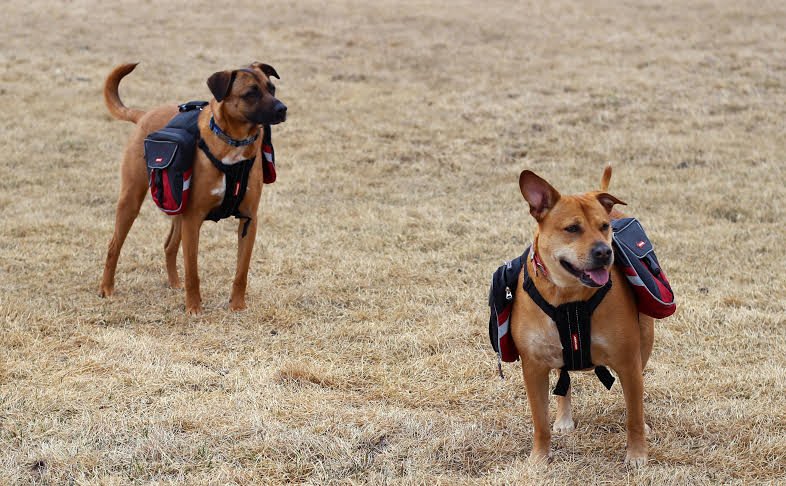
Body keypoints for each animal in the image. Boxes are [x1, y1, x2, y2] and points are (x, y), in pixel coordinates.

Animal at [98, 62, 286, 314]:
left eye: (271, 88)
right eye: (250, 93)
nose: (282, 109)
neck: (232, 141)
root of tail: (144, 115)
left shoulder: (249, 220)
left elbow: (241, 271)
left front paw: (237, 306)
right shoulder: (193, 219)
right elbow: (193, 271)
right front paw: (194, 308)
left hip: (178, 207)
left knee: (169, 246)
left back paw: (174, 283)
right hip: (132, 200)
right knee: (114, 246)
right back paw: (106, 288)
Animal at [506, 167, 652, 468]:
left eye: (604, 227)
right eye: (572, 229)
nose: (604, 251)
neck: (568, 296)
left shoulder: (628, 362)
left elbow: (633, 413)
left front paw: (636, 455)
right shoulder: (533, 367)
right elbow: (540, 421)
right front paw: (539, 458)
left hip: (645, 339)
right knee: (564, 382)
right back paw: (563, 419)